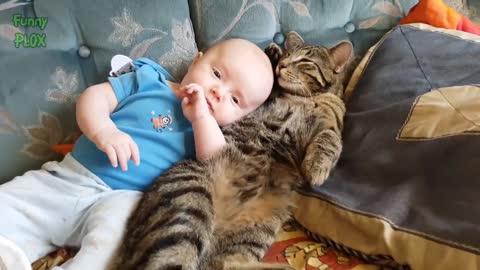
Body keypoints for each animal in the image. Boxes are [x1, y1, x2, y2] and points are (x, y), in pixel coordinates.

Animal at [107, 32, 350, 270]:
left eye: (305, 61)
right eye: (288, 55)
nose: (282, 64)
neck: (306, 97)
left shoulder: (329, 126)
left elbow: (330, 141)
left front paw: (316, 168)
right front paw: (272, 54)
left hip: (256, 230)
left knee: (224, 262)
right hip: (188, 203)